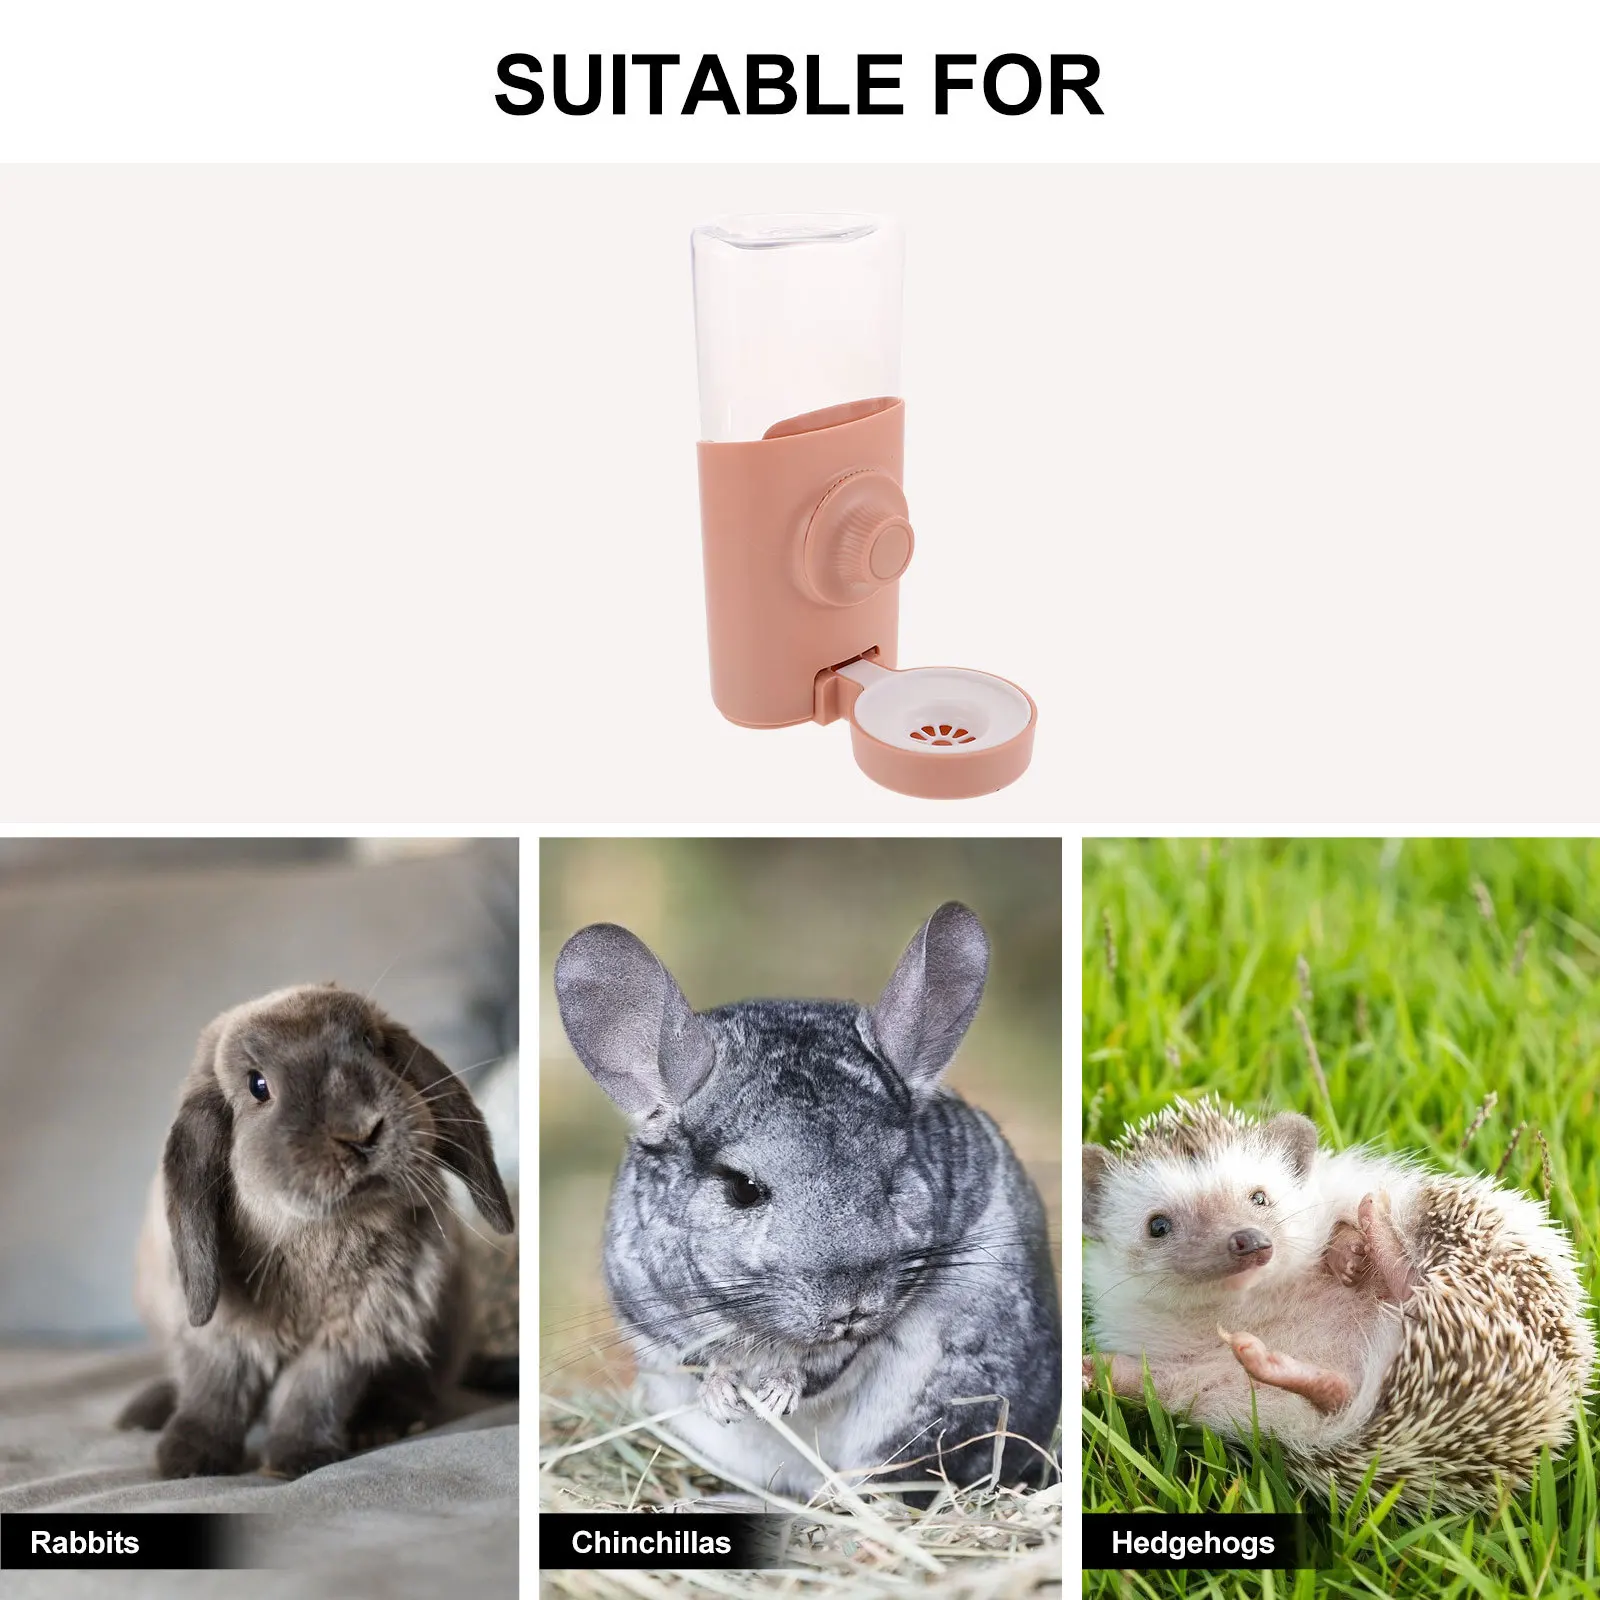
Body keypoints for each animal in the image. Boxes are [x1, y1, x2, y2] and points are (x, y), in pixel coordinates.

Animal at [116, 983, 515, 1480]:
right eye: (258, 1085)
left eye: (371, 1044)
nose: (361, 1131)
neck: (319, 1233)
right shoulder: (221, 1333)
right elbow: (215, 1390)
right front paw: (186, 1461)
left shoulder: (352, 1334)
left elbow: (312, 1393)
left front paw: (296, 1460)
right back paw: (144, 1413)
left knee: (418, 1387)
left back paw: (384, 1424)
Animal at [554, 901, 1061, 1499]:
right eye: (743, 1189)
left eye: (893, 1176)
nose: (852, 1306)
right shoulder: (650, 1307)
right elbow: (701, 1360)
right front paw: (726, 1397)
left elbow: (820, 1363)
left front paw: (776, 1394)